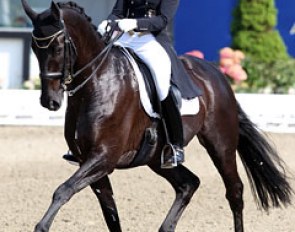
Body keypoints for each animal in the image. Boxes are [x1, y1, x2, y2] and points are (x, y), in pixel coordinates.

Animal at [21, 0, 294, 231]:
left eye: (57, 47)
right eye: (35, 47)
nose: (50, 101)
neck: (98, 83)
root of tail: (216, 74)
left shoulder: (104, 158)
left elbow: (63, 190)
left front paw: (41, 226)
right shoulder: (87, 160)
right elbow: (110, 213)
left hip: (221, 144)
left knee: (234, 192)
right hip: (156, 157)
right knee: (188, 184)